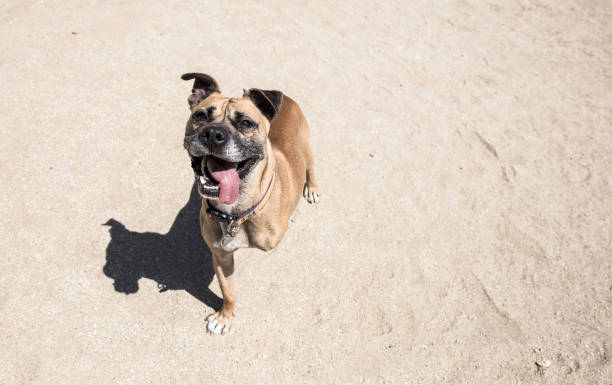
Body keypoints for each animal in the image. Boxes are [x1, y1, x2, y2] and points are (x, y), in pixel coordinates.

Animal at [180, 72, 320, 332]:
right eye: (200, 116)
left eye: (245, 123)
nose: (213, 134)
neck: (237, 214)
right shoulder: (221, 256)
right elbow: (228, 292)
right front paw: (225, 317)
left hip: (306, 150)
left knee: (311, 167)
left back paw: (313, 188)